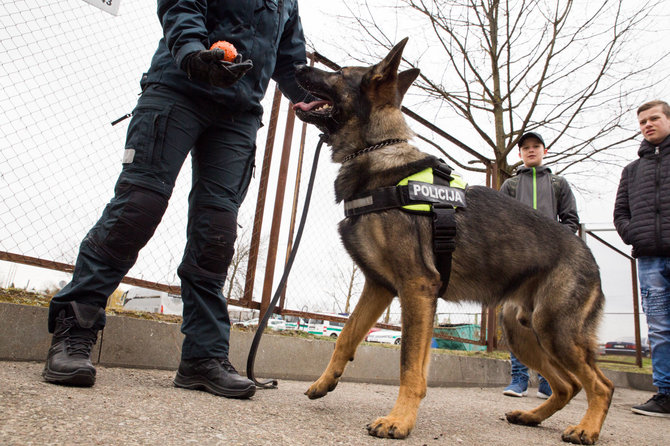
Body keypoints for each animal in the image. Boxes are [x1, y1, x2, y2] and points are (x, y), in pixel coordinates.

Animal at [292, 39, 616, 446]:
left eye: (337, 72)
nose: (296, 66)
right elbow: (346, 335)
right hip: (523, 335)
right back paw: (532, 416)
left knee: (600, 385)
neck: (377, 152)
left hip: (555, 331)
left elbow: (409, 365)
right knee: (568, 385)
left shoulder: (416, 288)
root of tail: (588, 253)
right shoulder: (380, 286)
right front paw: (325, 382)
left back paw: (586, 428)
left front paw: (399, 420)